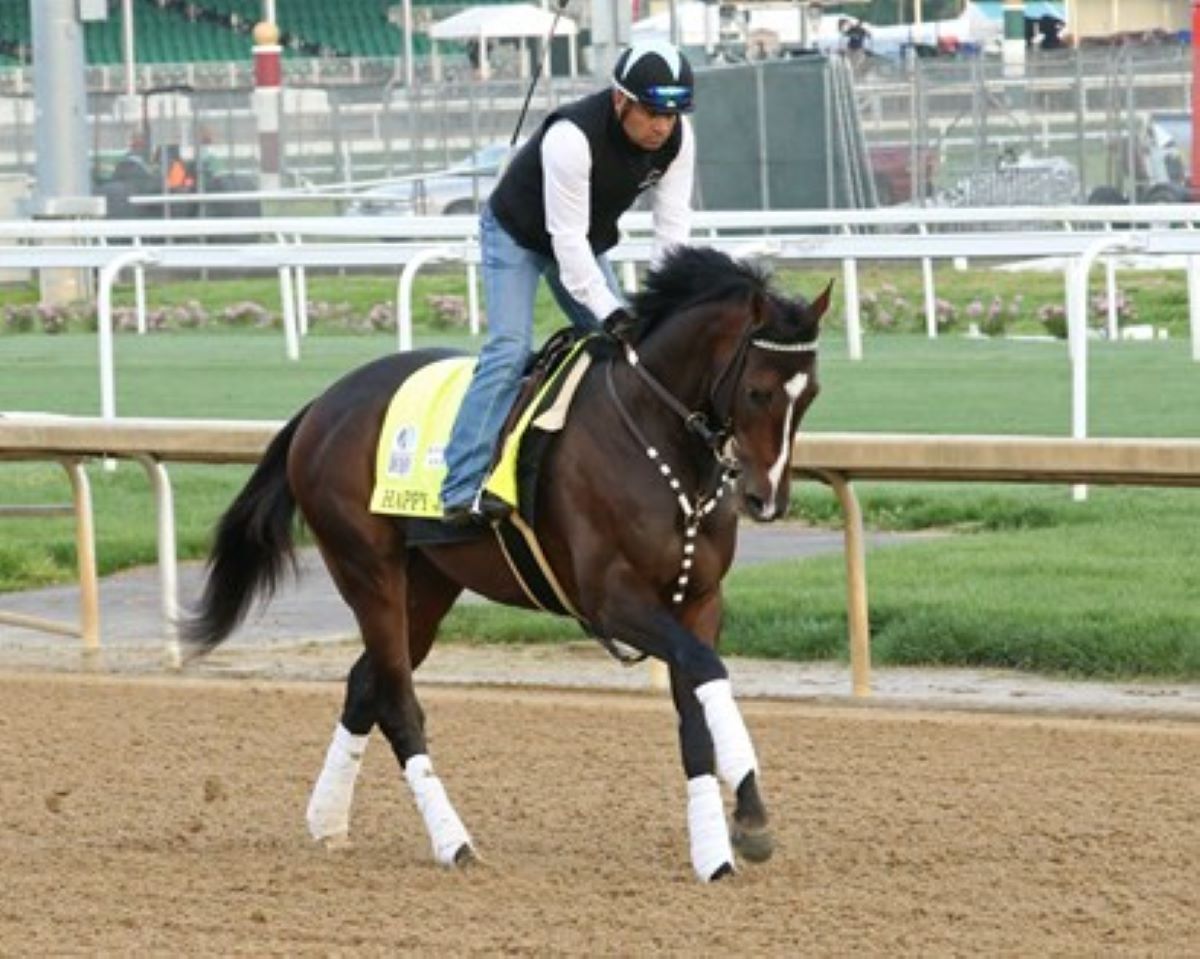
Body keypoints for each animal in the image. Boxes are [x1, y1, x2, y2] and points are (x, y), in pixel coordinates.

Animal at [184, 249, 825, 883]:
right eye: (759, 391)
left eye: (811, 393)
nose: (767, 498)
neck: (659, 442)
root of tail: (322, 405)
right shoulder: (613, 599)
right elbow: (707, 670)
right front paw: (748, 819)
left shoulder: (696, 598)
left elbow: (697, 706)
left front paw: (723, 841)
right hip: (366, 568)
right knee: (397, 700)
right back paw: (454, 843)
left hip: (427, 585)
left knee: (366, 683)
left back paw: (327, 820)